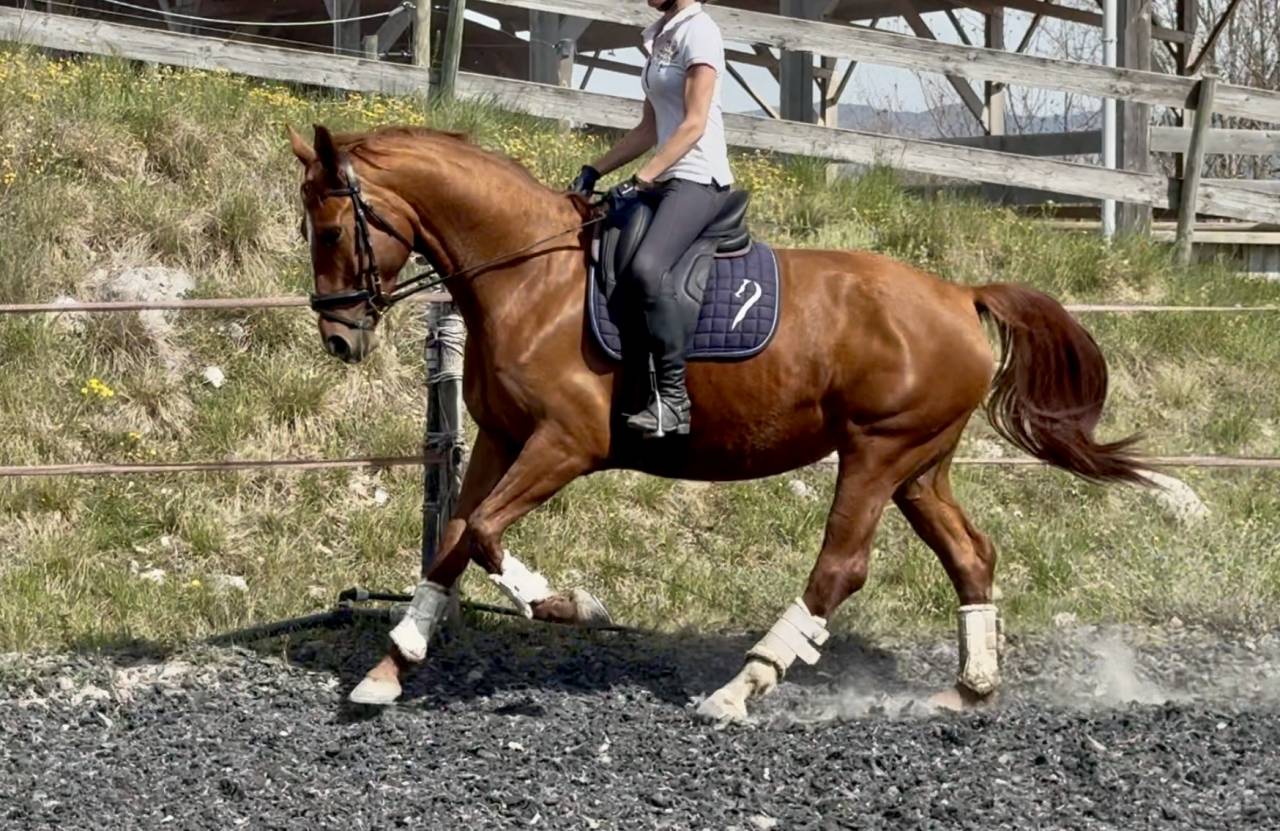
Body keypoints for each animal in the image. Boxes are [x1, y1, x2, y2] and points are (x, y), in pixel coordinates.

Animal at [287, 122, 1147, 722]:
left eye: (328, 231)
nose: (337, 338)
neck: (531, 277)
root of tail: (961, 294)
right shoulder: (503, 439)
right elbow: (454, 541)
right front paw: (390, 667)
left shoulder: (565, 443)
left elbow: (486, 531)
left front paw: (563, 604)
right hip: (919, 464)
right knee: (971, 554)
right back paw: (970, 688)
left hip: (878, 451)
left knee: (841, 568)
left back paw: (740, 688)